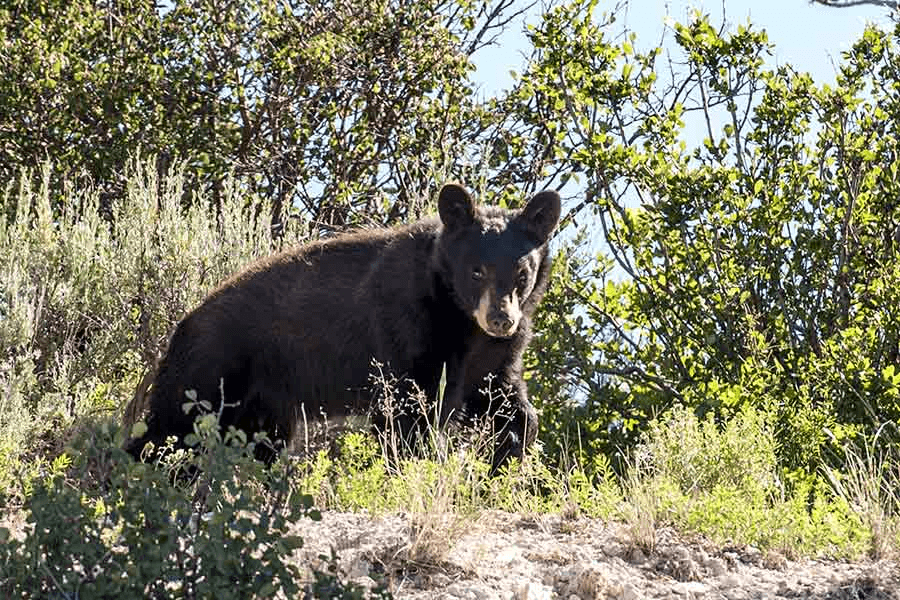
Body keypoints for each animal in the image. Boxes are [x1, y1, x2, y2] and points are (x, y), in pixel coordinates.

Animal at [124, 183, 561, 472]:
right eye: (476, 270)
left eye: (522, 273)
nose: (501, 319)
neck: (460, 318)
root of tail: (181, 326)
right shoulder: (409, 327)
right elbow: (408, 411)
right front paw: (417, 471)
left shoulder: (494, 354)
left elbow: (503, 398)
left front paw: (506, 460)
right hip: (211, 370)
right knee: (169, 429)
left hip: (263, 404)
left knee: (255, 443)